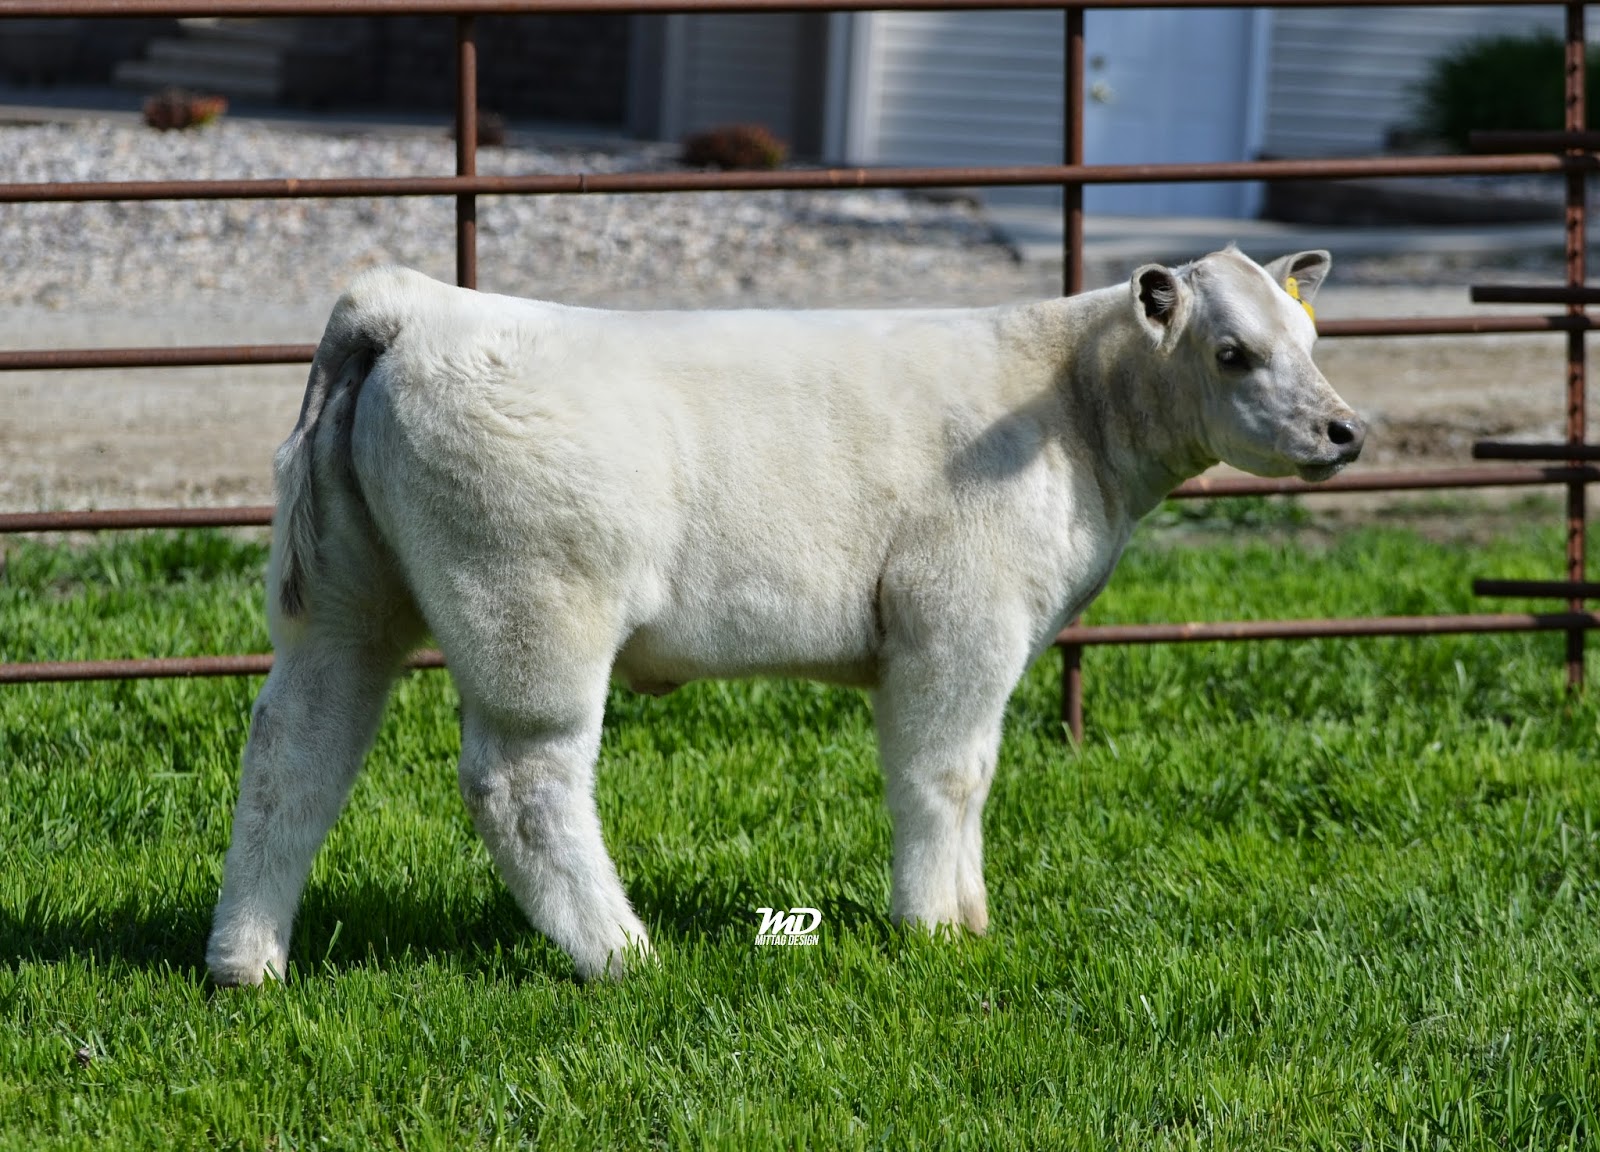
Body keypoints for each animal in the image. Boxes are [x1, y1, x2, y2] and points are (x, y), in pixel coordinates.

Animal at [206, 248, 1363, 984]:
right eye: (1232, 351)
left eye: (1312, 336)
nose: (1345, 430)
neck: (1072, 404)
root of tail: (413, 303)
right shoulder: (958, 625)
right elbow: (944, 775)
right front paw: (935, 931)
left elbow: (977, 773)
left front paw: (971, 917)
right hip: (534, 615)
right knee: (523, 784)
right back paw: (620, 955)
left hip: (345, 604)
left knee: (292, 756)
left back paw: (245, 962)